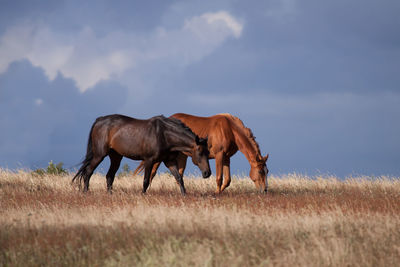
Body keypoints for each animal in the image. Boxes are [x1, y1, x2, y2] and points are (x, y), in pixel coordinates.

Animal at [74, 114, 212, 196]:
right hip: (99, 155)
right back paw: (86, 192)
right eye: (200, 152)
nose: (207, 173)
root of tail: (99, 120)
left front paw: (184, 195)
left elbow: (179, 178)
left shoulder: (170, 161)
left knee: (109, 176)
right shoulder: (149, 160)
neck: (163, 134)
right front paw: (143, 195)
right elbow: (146, 180)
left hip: (116, 157)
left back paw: (110, 194)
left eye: (208, 152)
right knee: (88, 172)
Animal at [134, 113, 268, 195]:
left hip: (182, 156)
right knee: (152, 172)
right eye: (260, 171)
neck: (230, 130)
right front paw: (216, 193)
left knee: (178, 175)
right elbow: (219, 177)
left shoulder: (226, 157)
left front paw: (218, 192)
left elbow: (228, 180)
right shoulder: (219, 155)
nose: (265, 190)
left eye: (267, 171)